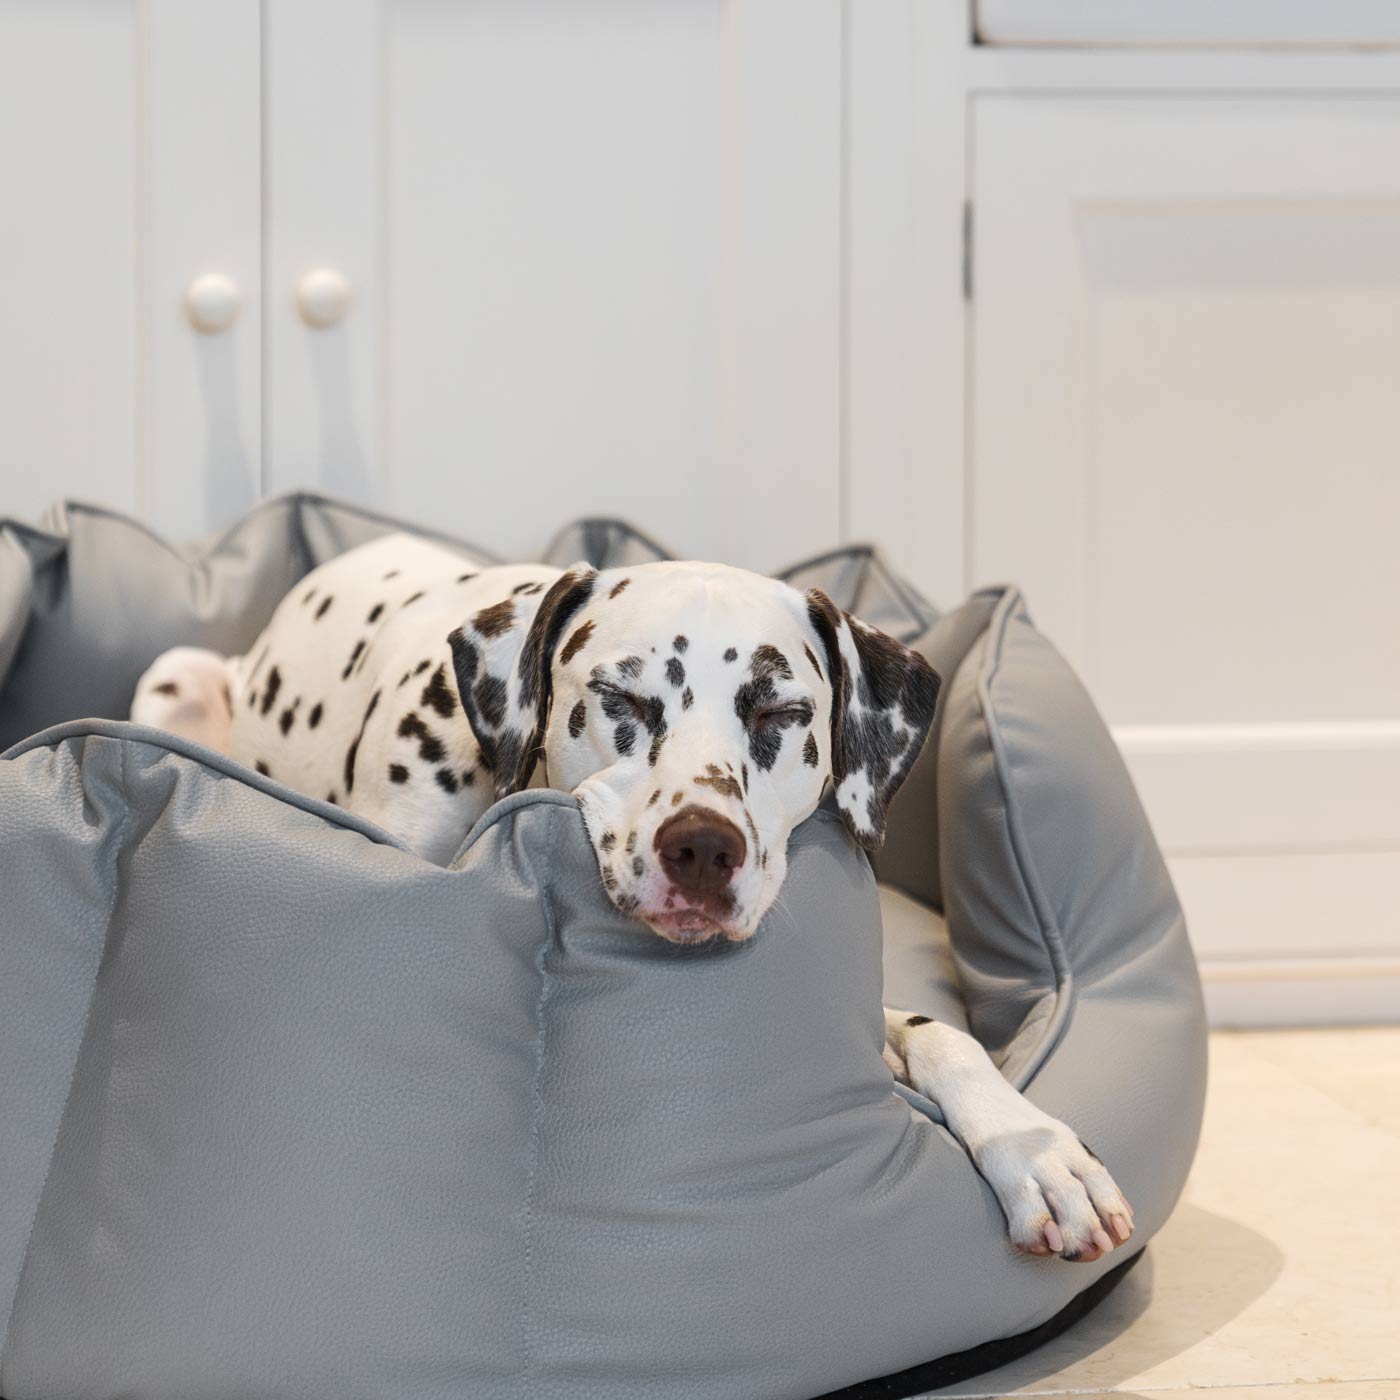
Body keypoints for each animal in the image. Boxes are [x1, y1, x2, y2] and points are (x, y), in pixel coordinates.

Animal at [131, 529, 1131, 1265]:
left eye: (781, 713)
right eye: (621, 697)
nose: (703, 848)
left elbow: (943, 1036)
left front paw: (1037, 1148)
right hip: (175, 675)